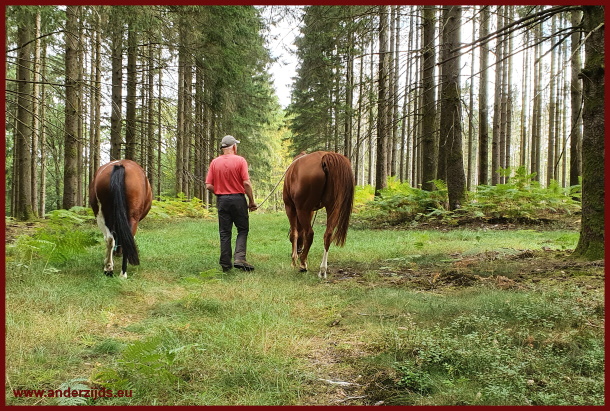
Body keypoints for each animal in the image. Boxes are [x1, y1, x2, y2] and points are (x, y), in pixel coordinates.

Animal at [282, 151, 354, 280]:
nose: (299, 250)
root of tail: (324, 158)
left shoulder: (290, 207)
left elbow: (294, 233)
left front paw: (293, 260)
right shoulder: (310, 211)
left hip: (301, 209)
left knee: (310, 233)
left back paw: (303, 263)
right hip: (333, 208)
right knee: (328, 235)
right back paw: (322, 270)